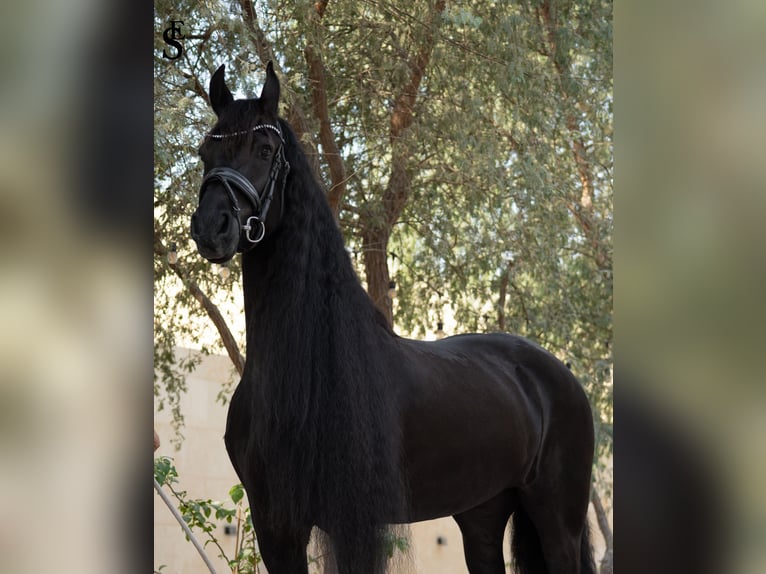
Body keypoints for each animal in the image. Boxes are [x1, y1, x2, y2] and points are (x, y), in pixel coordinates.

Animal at [190, 62, 596, 574]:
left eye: (264, 150)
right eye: (207, 150)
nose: (211, 228)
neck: (307, 372)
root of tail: (561, 374)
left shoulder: (351, 524)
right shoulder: (275, 526)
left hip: (558, 519)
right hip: (483, 514)